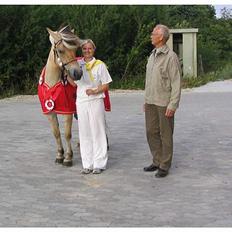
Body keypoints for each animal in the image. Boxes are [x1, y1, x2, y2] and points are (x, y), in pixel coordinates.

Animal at [38, 25, 83, 167]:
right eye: (61, 51)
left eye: (75, 50)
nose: (77, 74)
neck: (52, 82)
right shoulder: (50, 112)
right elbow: (56, 133)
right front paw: (59, 155)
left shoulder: (67, 110)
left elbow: (67, 134)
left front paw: (68, 158)